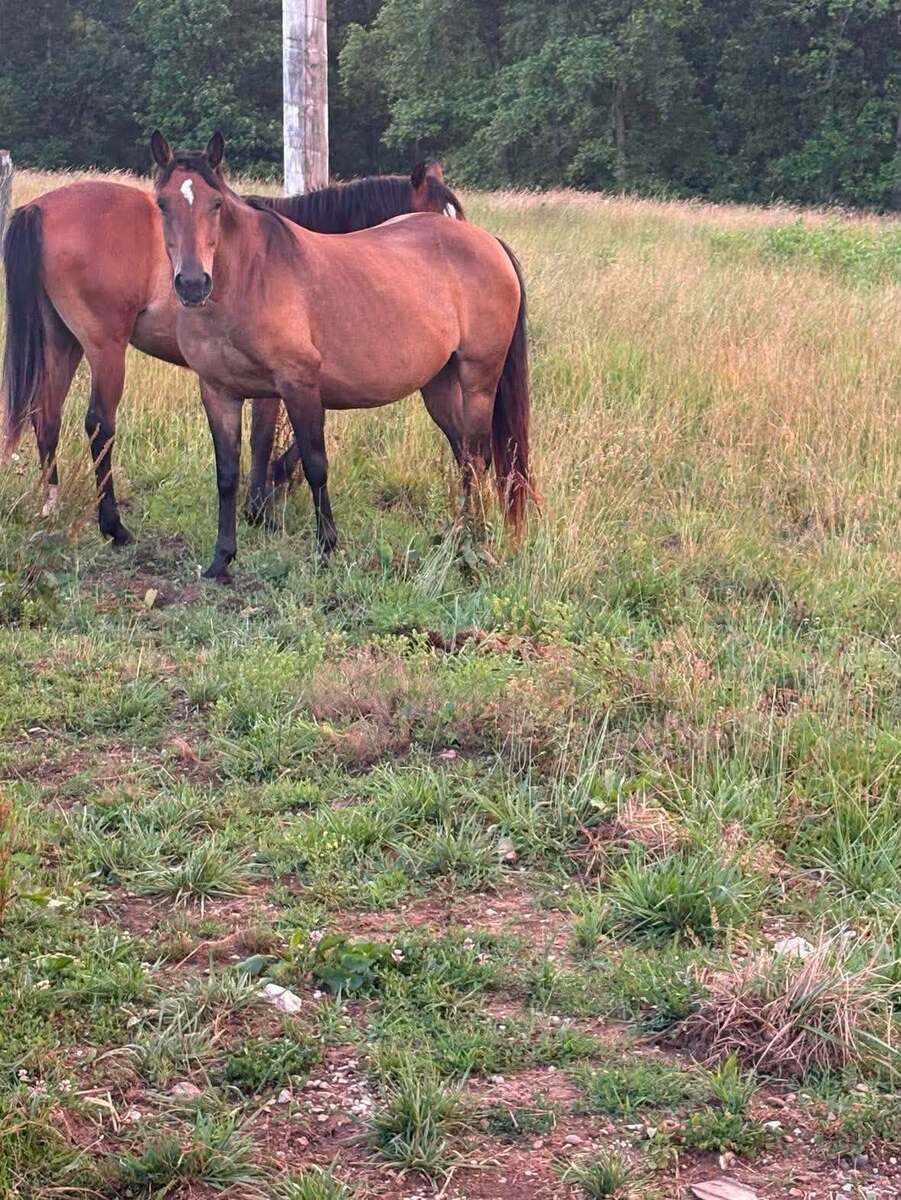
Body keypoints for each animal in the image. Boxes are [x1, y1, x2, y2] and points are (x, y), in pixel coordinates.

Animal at [2, 159, 463, 543]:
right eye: (438, 218)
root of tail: (40, 208)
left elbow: (263, 436)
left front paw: (260, 503)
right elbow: (266, 437)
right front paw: (262, 505)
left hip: (62, 338)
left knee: (47, 415)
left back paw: (51, 503)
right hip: (104, 346)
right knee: (99, 424)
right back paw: (113, 527)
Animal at [150, 131, 531, 581]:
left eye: (216, 204)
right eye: (162, 204)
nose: (192, 284)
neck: (248, 278)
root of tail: (490, 244)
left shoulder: (298, 385)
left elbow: (313, 463)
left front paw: (325, 547)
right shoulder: (219, 392)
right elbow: (227, 473)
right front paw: (221, 558)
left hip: (478, 379)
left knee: (476, 454)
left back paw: (473, 541)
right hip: (437, 385)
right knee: (465, 455)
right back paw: (459, 536)